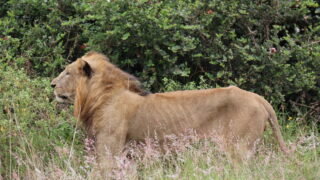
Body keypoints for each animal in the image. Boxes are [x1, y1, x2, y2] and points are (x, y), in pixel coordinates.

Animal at [51, 51, 288, 169]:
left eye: (67, 72)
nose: (52, 84)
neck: (98, 96)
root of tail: (259, 98)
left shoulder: (109, 145)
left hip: (239, 148)